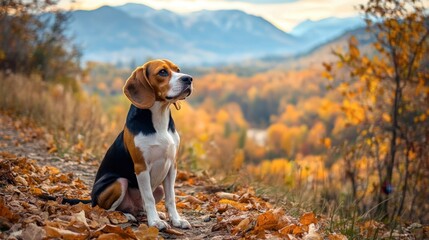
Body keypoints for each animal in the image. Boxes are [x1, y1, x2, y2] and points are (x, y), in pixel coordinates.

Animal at [91, 59, 192, 230]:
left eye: (178, 70)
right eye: (162, 72)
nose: (189, 79)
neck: (159, 119)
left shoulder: (172, 166)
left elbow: (171, 198)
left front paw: (176, 220)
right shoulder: (141, 167)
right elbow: (149, 198)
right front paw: (155, 222)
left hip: (158, 189)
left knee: (142, 206)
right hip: (118, 182)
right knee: (106, 210)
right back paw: (126, 216)